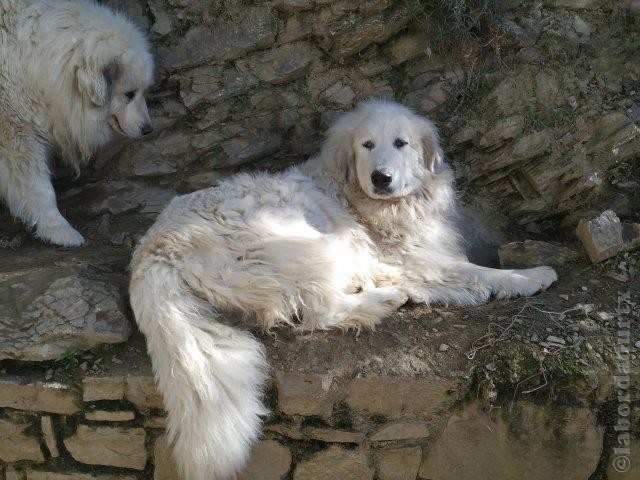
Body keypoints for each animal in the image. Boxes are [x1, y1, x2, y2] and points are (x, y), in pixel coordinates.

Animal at [0, 0, 154, 246]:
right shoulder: (17, 131)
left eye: (144, 91)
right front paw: (60, 230)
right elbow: (38, 187)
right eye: (129, 94)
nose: (148, 129)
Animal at [129, 101, 556, 480]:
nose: (381, 177)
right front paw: (528, 276)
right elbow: (473, 271)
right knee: (320, 312)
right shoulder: (402, 256)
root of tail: (153, 252)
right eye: (367, 144)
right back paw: (385, 299)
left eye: (400, 143)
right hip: (311, 243)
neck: (364, 200)